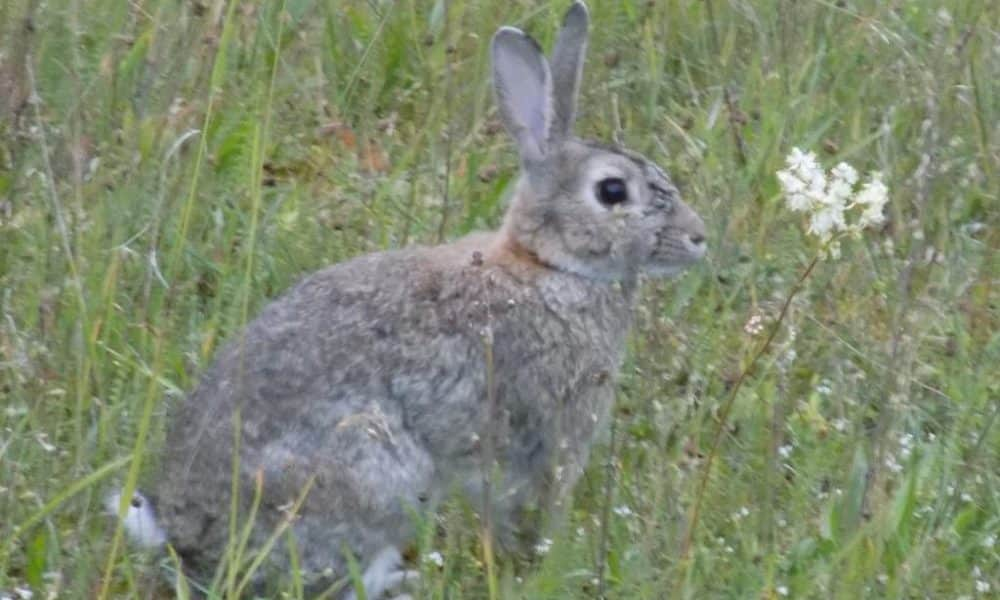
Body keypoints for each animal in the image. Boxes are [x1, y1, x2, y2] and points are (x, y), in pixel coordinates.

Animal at [109, 2, 708, 596]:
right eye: (613, 191)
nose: (699, 237)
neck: (549, 264)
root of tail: (180, 538)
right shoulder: (545, 443)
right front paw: (537, 567)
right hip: (373, 473)